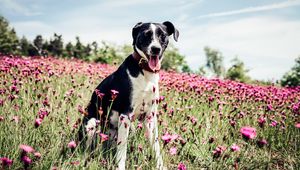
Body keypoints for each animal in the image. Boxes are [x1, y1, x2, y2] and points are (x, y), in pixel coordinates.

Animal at [78, 20, 179, 169]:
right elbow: (122, 150)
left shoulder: (150, 116)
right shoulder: (125, 114)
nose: (155, 49)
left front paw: (160, 166)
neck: (145, 71)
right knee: (86, 149)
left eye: (163, 35)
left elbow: (156, 146)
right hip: (91, 125)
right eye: (146, 34)